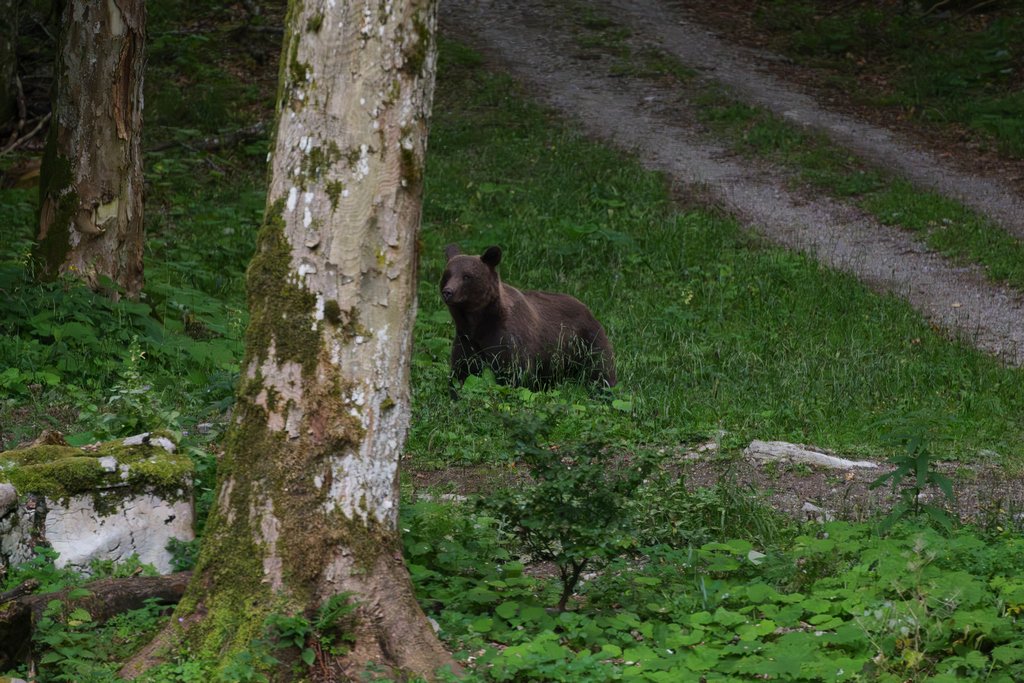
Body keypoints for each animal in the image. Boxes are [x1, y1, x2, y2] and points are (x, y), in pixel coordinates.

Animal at [439, 244, 616, 394]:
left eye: (467, 276)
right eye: (447, 275)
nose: (448, 292)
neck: (479, 322)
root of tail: (587, 308)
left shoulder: (508, 339)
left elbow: (515, 376)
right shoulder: (467, 341)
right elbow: (461, 373)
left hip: (585, 342)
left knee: (600, 371)